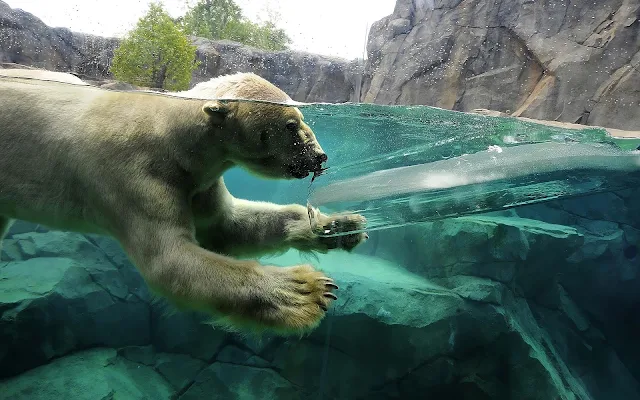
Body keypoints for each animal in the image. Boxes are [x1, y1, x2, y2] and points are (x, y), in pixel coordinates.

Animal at [0, 71, 368, 334]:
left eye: (301, 119)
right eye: (291, 125)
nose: (320, 156)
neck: (172, 139)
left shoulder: (198, 181)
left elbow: (227, 226)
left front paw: (341, 225)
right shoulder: (136, 177)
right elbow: (171, 259)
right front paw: (306, 290)